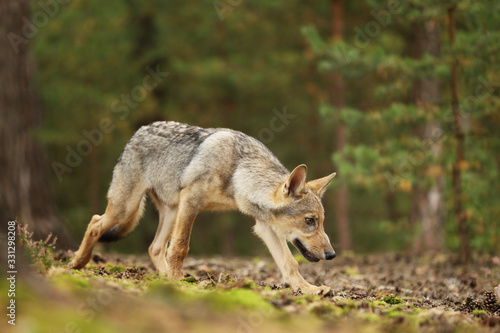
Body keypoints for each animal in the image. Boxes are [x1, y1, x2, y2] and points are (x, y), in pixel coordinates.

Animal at [69, 120, 336, 292]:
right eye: (310, 220)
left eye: (322, 222)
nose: (332, 255)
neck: (237, 174)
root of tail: (139, 131)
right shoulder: (192, 202)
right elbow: (180, 248)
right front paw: (179, 282)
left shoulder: (264, 226)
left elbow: (289, 263)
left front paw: (308, 288)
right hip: (125, 208)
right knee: (95, 222)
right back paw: (76, 263)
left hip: (170, 212)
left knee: (155, 248)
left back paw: (164, 278)